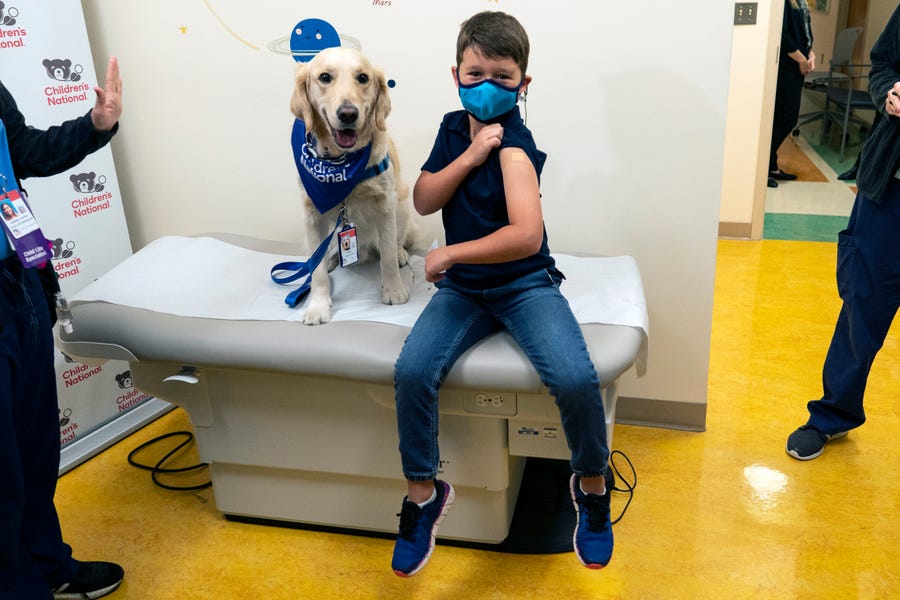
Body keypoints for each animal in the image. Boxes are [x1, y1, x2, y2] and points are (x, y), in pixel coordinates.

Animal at [288, 47, 414, 326]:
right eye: (325, 77)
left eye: (363, 78)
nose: (348, 114)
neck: (340, 163)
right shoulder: (311, 213)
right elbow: (317, 272)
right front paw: (318, 306)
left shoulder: (385, 205)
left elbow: (388, 256)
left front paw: (394, 290)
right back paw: (331, 258)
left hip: (402, 207)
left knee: (396, 241)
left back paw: (401, 253)